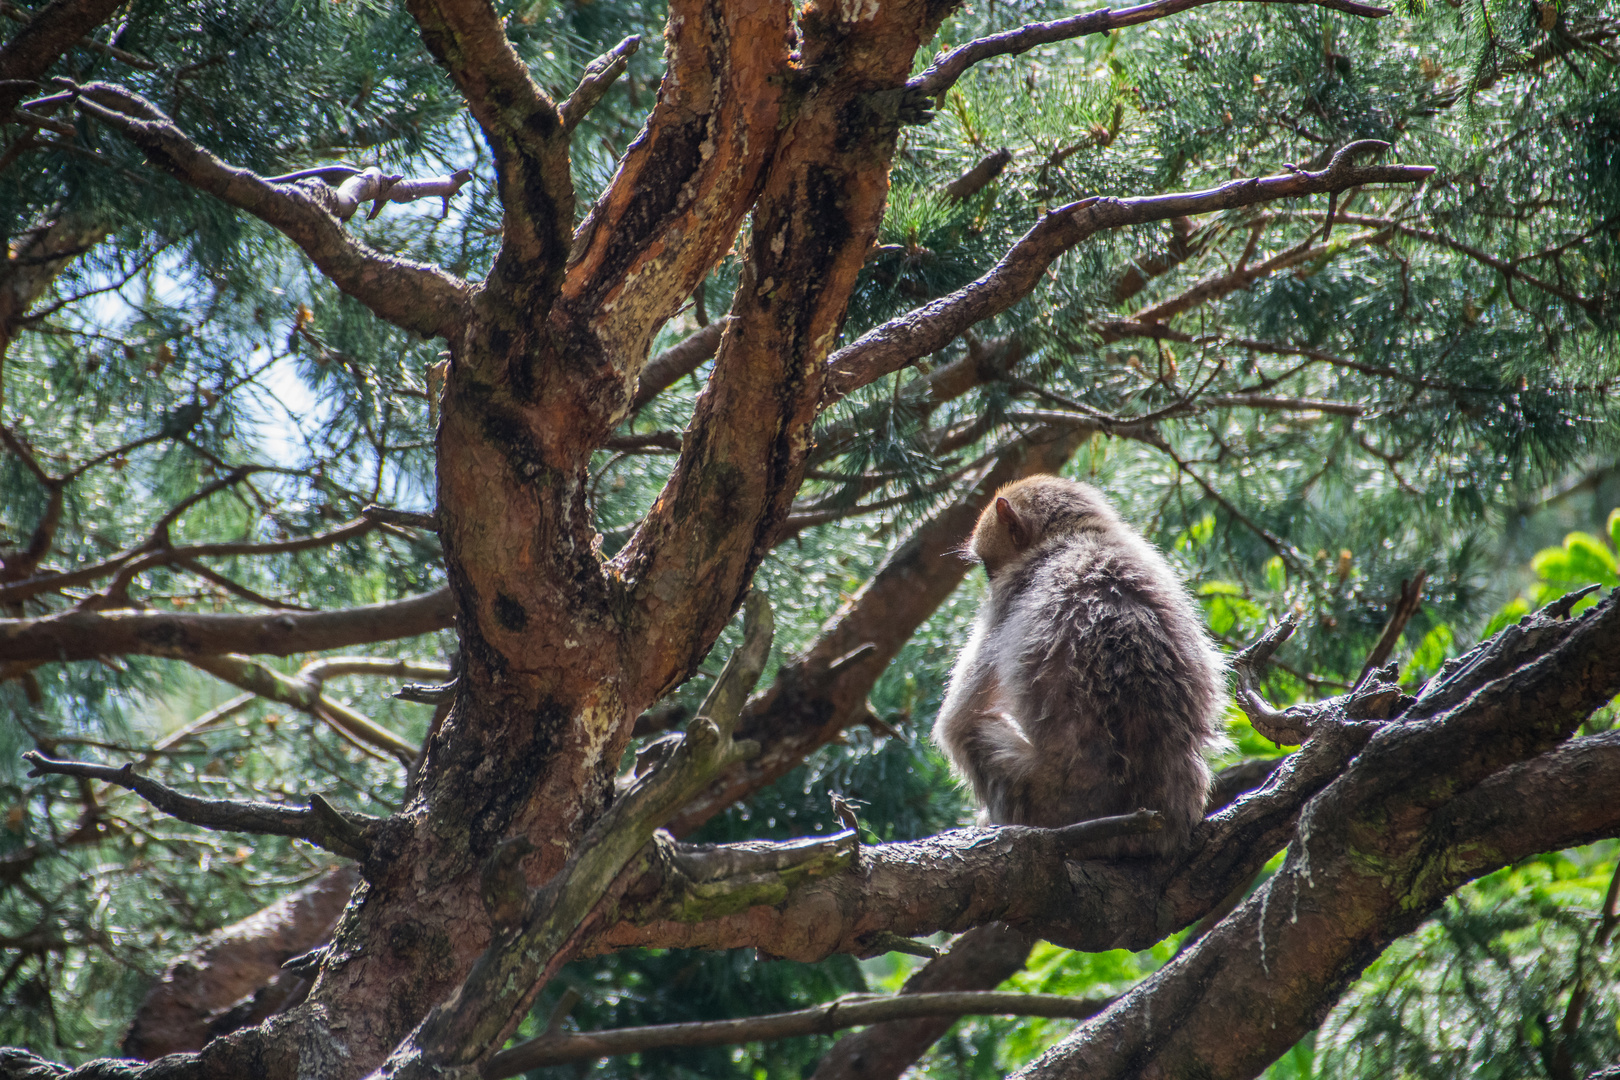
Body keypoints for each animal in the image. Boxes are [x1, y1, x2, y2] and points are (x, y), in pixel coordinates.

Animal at [939, 476, 1224, 854]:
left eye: (990, 568)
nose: (988, 581)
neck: (1076, 536)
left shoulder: (1008, 598)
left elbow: (957, 722)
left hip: (1042, 798)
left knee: (978, 732)